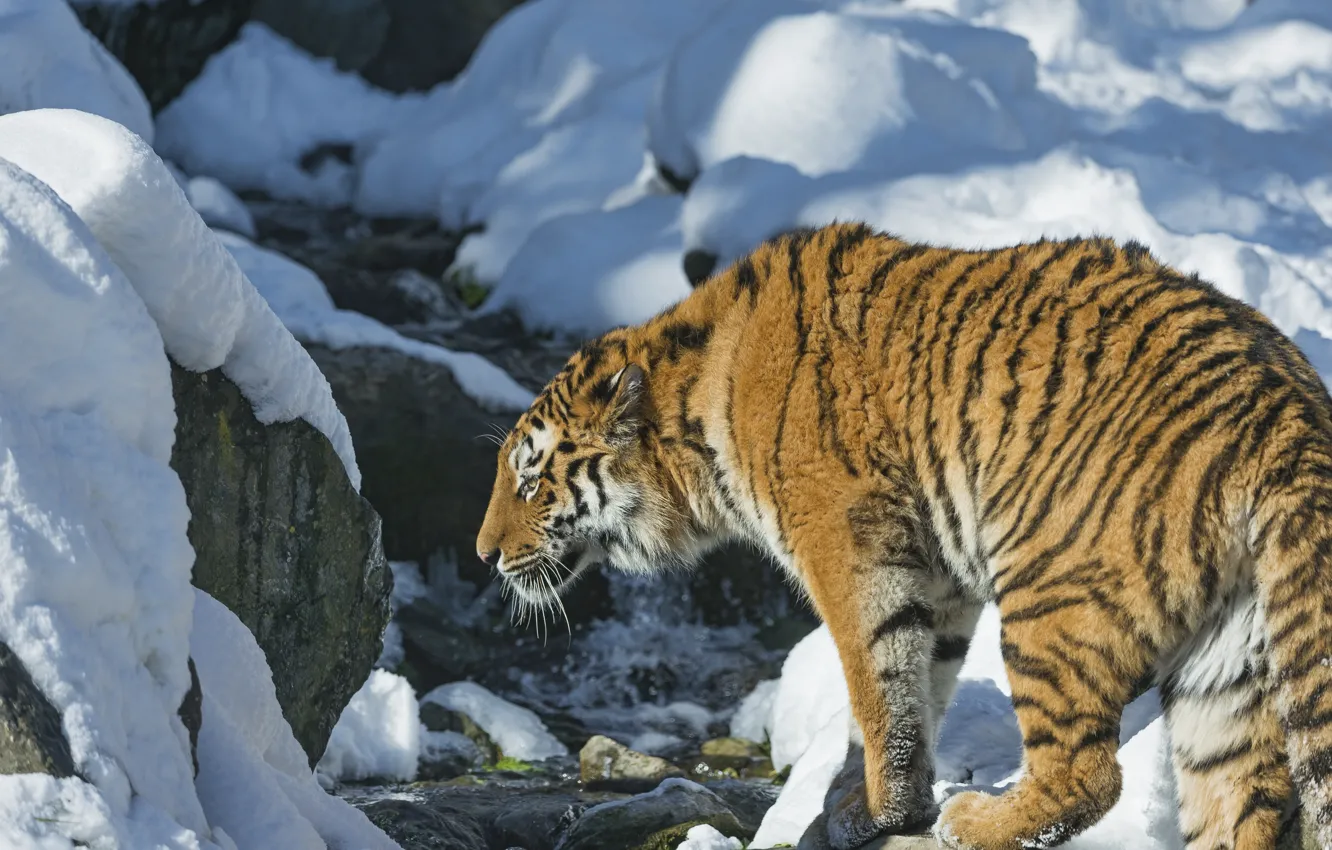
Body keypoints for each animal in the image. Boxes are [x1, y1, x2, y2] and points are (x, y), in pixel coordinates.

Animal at [475, 223, 1332, 850]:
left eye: (530, 481)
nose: (485, 553)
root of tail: (1289, 408)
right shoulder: (937, 573)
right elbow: (924, 680)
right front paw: (890, 803)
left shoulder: (845, 542)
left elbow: (875, 679)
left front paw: (876, 811)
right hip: (1228, 662)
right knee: (1244, 798)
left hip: (1054, 597)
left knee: (1087, 776)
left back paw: (979, 822)